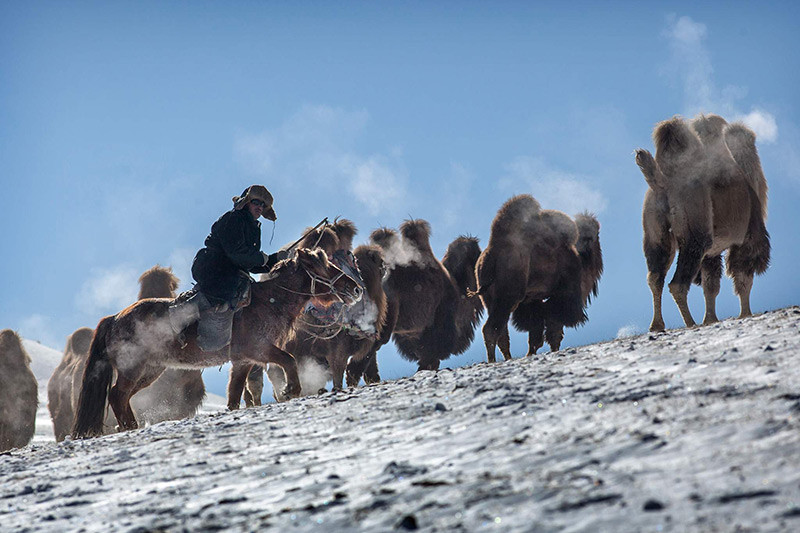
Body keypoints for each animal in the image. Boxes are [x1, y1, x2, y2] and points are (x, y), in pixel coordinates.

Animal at [72, 249, 362, 436]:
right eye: (323, 267)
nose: (356, 289)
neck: (270, 302)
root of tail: (115, 318)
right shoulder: (260, 350)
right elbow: (288, 361)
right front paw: (291, 389)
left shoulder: (243, 361)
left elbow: (234, 393)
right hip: (134, 368)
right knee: (117, 394)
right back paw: (129, 428)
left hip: (150, 370)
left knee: (121, 397)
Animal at [476, 195, 600, 362]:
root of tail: (490, 255)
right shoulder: (562, 295)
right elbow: (554, 329)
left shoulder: (533, 300)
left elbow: (536, 333)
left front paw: (531, 353)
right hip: (508, 298)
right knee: (491, 329)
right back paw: (493, 360)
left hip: (490, 300)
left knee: (501, 331)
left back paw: (507, 358)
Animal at [636, 113, 772, 328]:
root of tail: (663, 182)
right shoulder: (747, 238)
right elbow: (743, 278)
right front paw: (745, 313)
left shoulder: (712, 252)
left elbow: (710, 285)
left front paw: (710, 319)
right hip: (696, 236)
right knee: (677, 283)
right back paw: (690, 322)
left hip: (655, 234)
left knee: (655, 278)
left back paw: (657, 326)